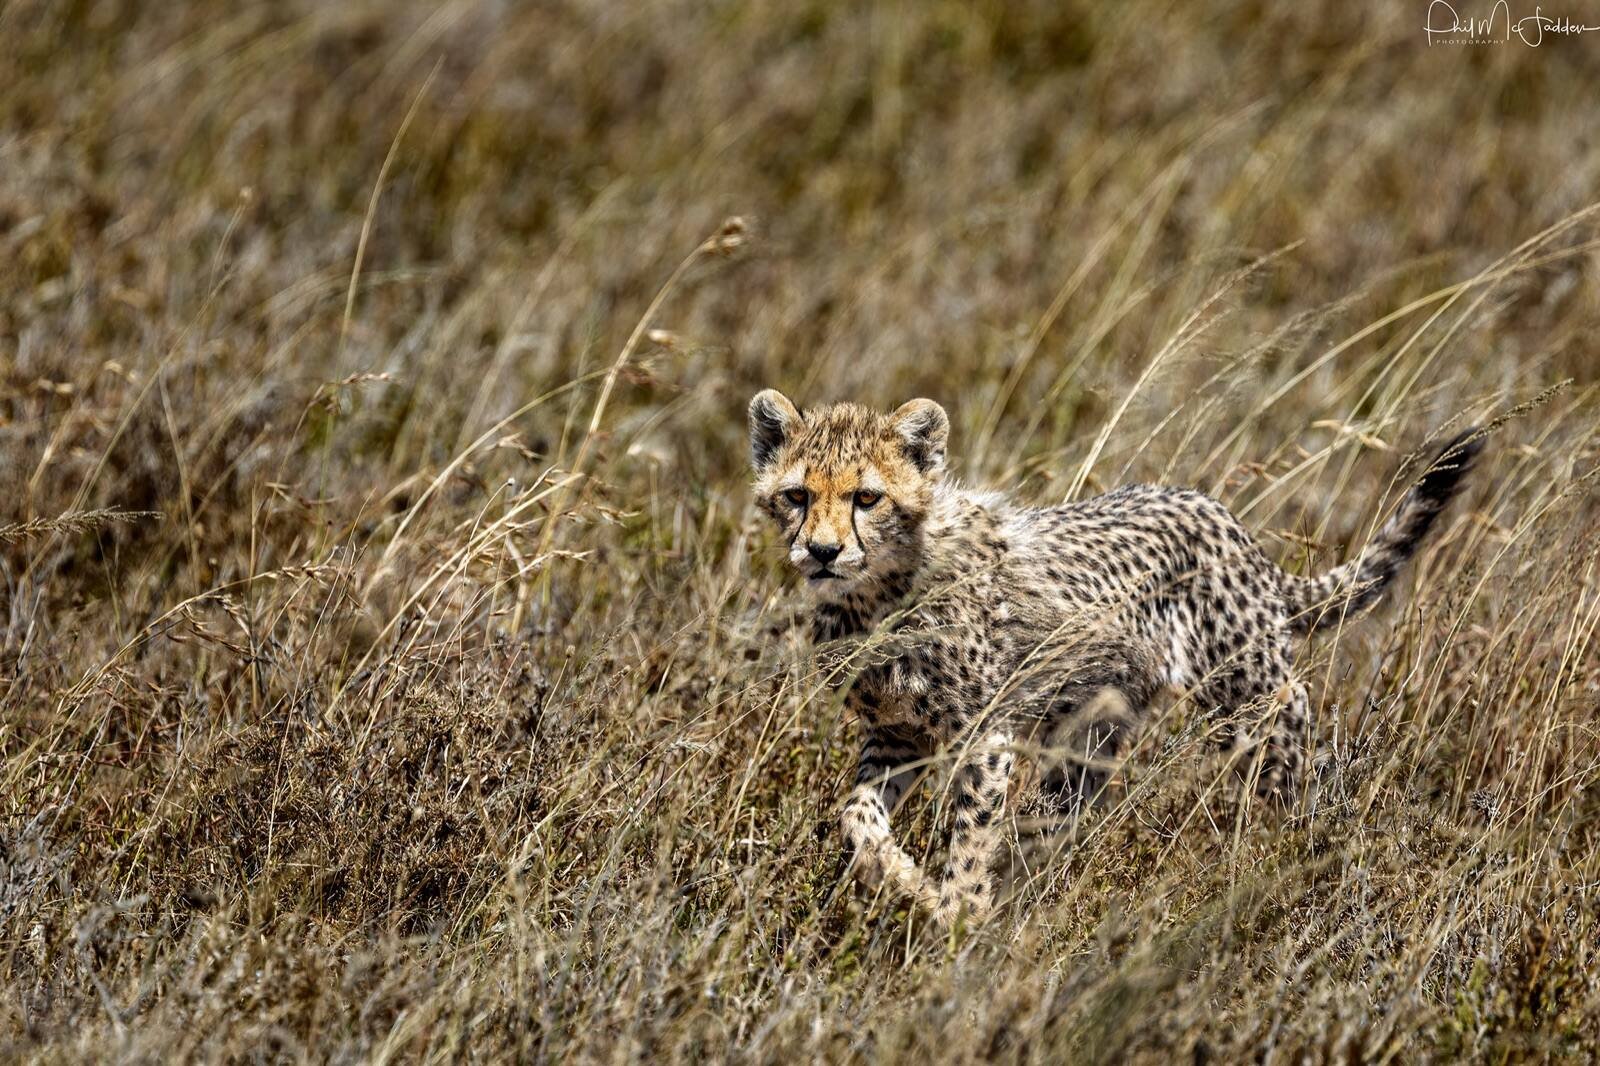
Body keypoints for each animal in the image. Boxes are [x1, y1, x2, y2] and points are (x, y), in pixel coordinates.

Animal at [747, 388, 1482, 930]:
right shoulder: (897, 731)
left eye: (866, 498)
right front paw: (907, 882)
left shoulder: (982, 734)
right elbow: (856, 817)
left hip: (1238, 681)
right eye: (798, 495)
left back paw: (1285, 823)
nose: (822, 552)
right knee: (1068, 795)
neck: (879, 591)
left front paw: (958, 912)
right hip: (1097, 718)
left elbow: (971, 837)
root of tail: (1219, 512)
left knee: (1289, 704)